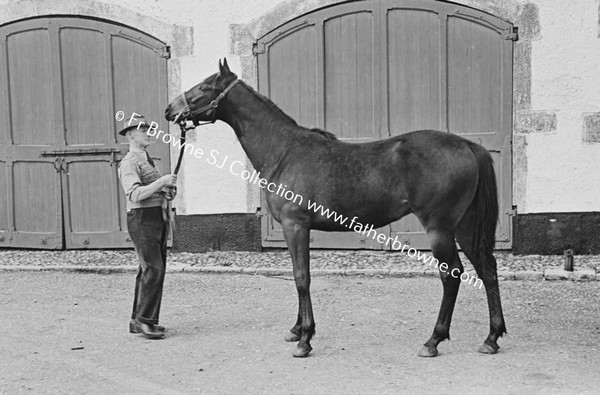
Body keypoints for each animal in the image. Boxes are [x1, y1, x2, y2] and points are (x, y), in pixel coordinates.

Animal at [164, 58, 506, 358]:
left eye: (206, 86)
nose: (170, 109)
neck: (284, 151)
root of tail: (466, 145)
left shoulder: (296, 225)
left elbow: (302, 277)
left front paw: (305, 340)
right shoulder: (293, 229)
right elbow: (297, 274)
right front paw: (297, 330)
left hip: (439, 228)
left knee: (452, 276)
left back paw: (433, 340)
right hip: (464, 226)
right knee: (487, 269)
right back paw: (491, 338)